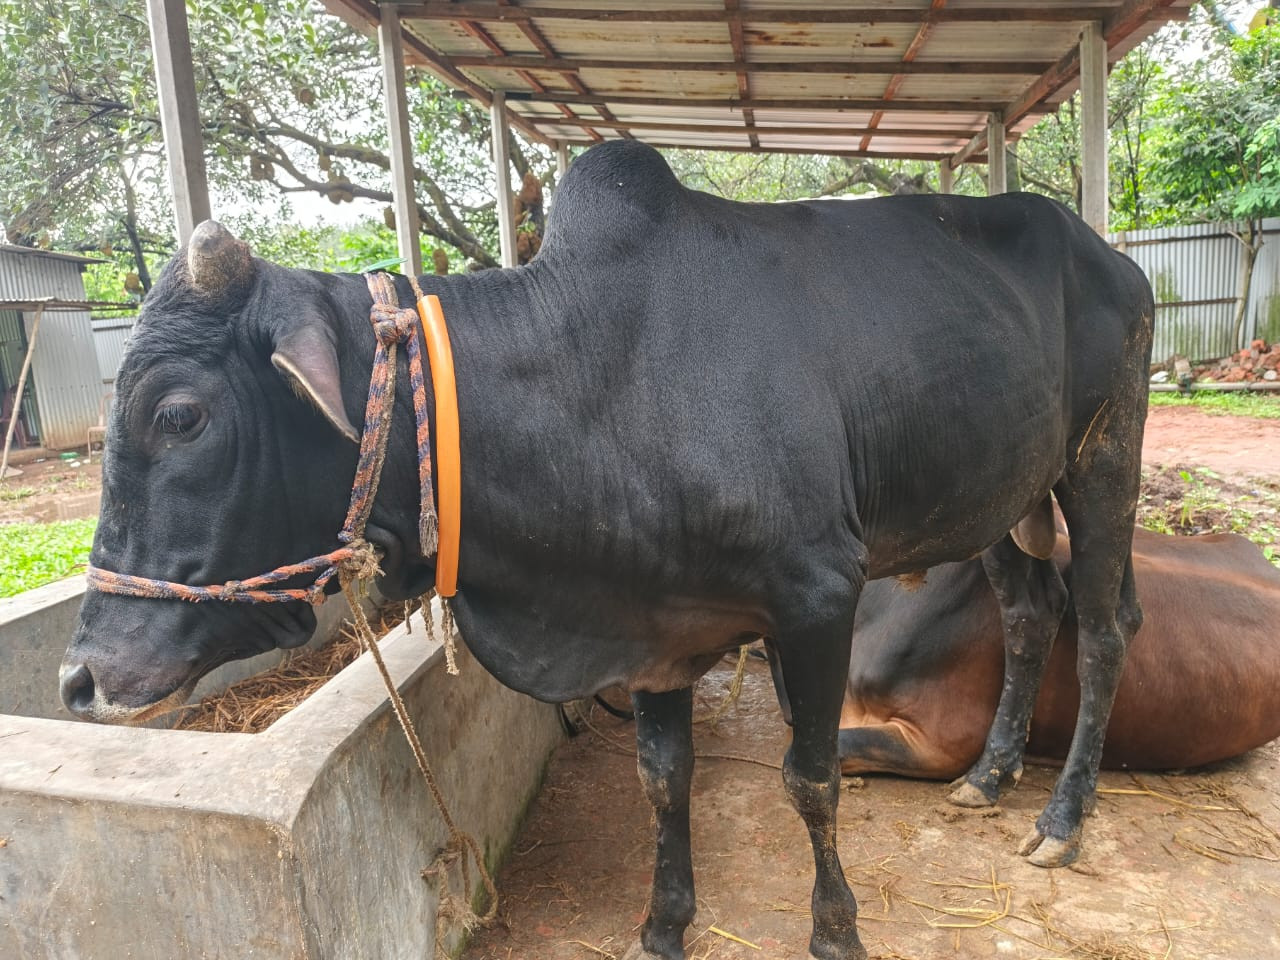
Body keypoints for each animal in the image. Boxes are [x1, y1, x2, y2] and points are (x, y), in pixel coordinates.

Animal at [61, 141, 1153, 960]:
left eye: (180, 414)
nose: (83, 678)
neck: (597, 379)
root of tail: (1112, 257)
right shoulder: (656, 627)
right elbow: (663, 781)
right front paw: (662, 927)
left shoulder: (815, 596)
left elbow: (809, 778)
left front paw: (836, 933)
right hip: (1001, 502)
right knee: (1030, 615)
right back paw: (989, 777)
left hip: (1103, 461)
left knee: (1104, 629)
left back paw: (1061, 821)